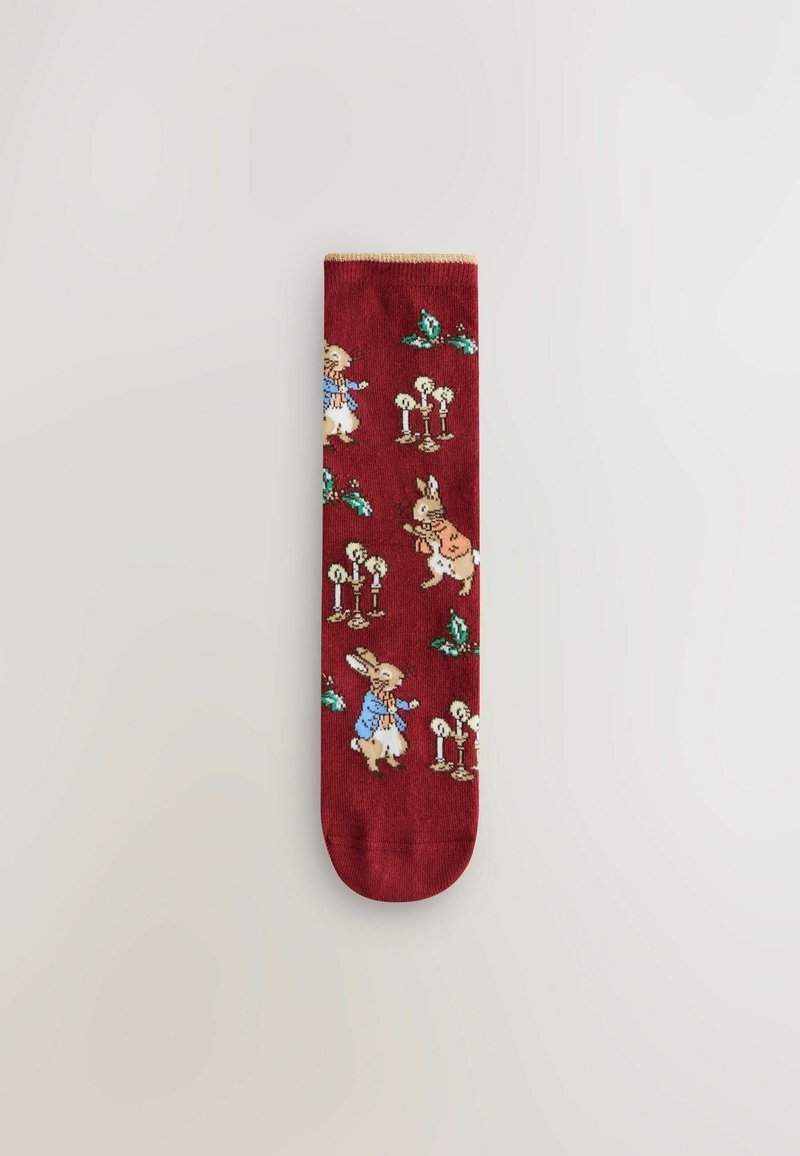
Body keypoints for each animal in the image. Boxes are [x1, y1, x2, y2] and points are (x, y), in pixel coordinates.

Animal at [346, 647, 419, 775]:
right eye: (385, 674)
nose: (402, 677)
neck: (384, 694)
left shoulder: (394, 699)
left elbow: (400, 702)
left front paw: (412, 704)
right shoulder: (370, 701)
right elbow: (377, 707)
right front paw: (390, 709)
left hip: (399, 741)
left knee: (389, 756)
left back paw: (397, 765)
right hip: (376, 745)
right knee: (371, 759)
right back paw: (376, 771)